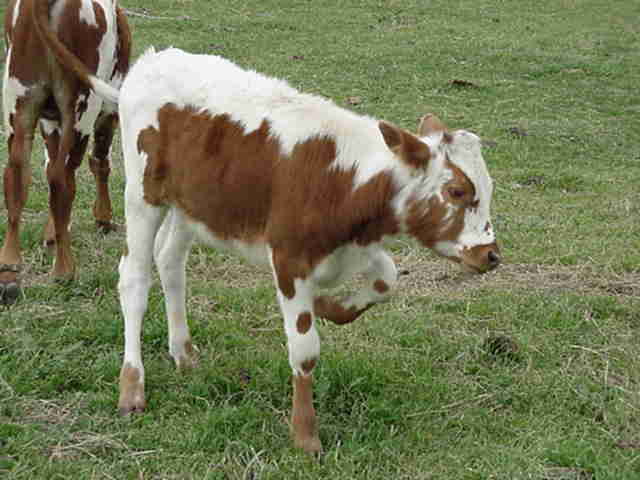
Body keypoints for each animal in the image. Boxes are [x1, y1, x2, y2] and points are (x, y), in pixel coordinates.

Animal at [0, 0, 131, 304]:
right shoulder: (110, 109)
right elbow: (100, 161)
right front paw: (103, 217)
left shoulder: (49, 121)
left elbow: (48, 163)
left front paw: (51, 232)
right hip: (82, 105)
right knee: (63, 180)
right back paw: (64, 270)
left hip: (18, 105)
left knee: (17, 175)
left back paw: (9, 267)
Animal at [116, 47, 500, 454]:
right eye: (457, 191)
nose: (491, 255)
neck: (341, 180)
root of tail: (156, 58)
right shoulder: (289, 260)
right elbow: (305, 349)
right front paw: (305, 434)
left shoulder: (355, 248)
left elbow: (387, 279)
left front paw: (327, 306)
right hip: (142, 196)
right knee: (134, 280)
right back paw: (132, 386)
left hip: (191, 206)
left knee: (170, 262)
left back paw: (183, 352)